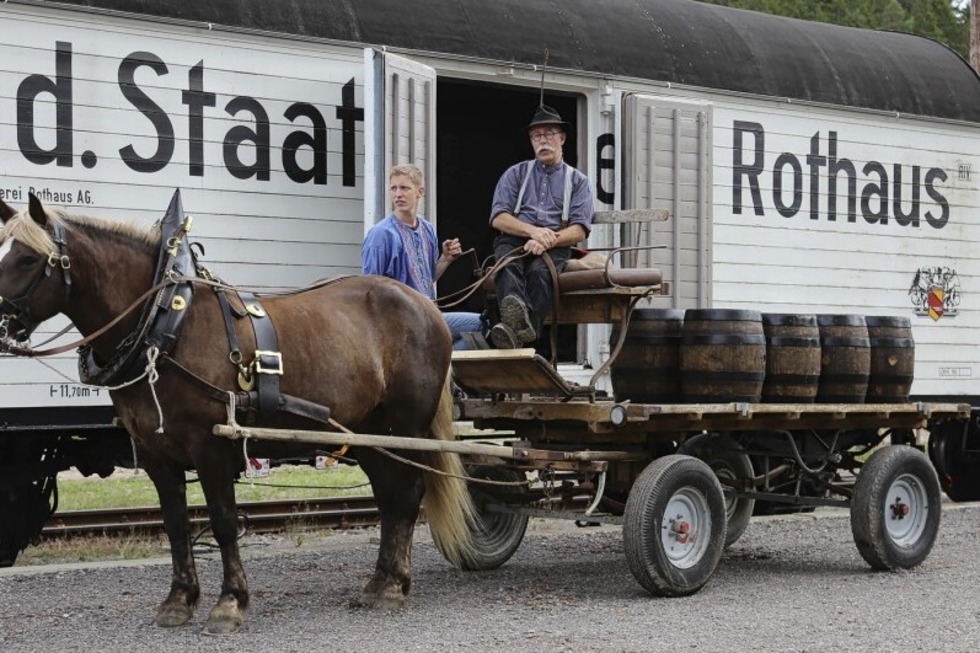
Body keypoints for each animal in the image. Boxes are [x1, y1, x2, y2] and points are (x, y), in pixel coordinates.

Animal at [0, 192, 476, 632]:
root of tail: (425, 305)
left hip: (405, 425)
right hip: (367, 432)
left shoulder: (211, 446)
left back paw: (395, 585)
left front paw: (230, 603)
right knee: (389, 498)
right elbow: (175, 525)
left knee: (409, 494)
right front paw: (179, 600)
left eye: (27, 258)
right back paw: (379, 582)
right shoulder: (155, 453)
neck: (167, 326)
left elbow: (224, 521)